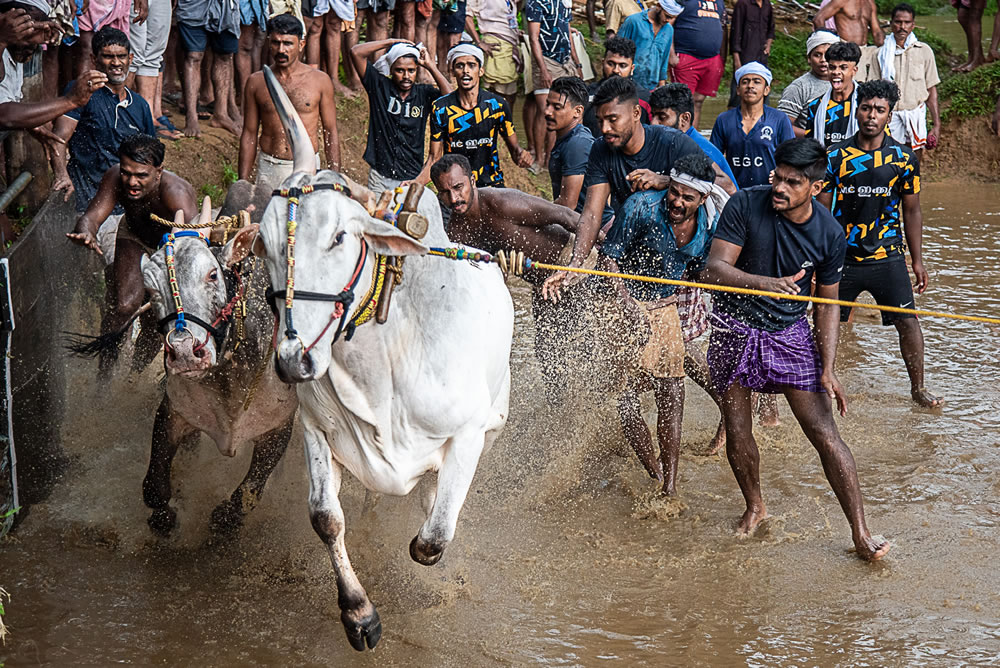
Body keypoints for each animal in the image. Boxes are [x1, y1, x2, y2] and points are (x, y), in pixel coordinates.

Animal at [254, 65, 516, 648]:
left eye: (339, 236)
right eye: (262, 240)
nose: (292, 360)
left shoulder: (467, 434)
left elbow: (432, 539)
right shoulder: (314, 424)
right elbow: (326, 517)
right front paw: (359, 614)